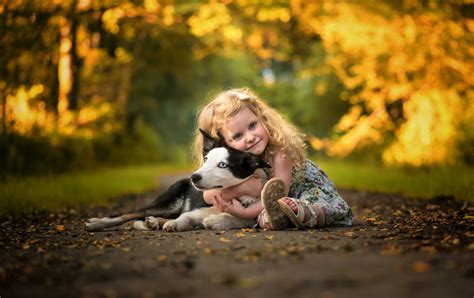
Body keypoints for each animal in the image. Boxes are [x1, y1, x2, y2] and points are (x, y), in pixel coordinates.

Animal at [84, 130, 270, 233]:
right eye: (206, 159)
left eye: (222, 165)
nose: (194, 177)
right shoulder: (195, 211)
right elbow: (185, 216)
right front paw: (176, 224)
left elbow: (242, 219)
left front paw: (217, 220)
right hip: (167, 202)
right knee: (129, 214)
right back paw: (95, 223)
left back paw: (154, 222)